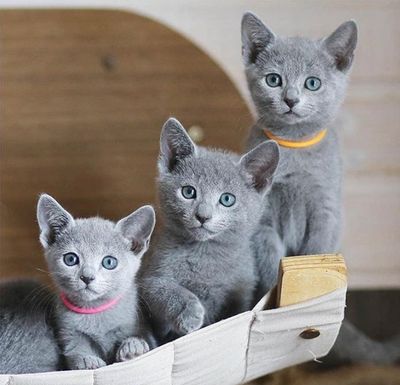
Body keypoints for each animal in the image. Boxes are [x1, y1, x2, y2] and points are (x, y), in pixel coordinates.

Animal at [37, 195, 156, 368]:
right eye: (70, 259)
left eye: (109, 262)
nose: (87, 277)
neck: (95, 310)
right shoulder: (68, 333)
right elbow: (74, 352)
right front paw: (86, 360)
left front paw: (133, 347)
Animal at [141, 117, 278, 340]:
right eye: (188, 192)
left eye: (227, 199)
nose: (203, 216)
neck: (205, 253)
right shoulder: (147, 276)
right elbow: (160, 287)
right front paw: (189, 310)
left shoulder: (243, 290)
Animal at [239, 11, 358, 294]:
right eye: (273, 80)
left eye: (312, 83)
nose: (291, 99)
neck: (293, 146)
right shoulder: (263, 217)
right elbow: (269, 256)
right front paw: (273, 290)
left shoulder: (326, 207)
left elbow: (316, 252)